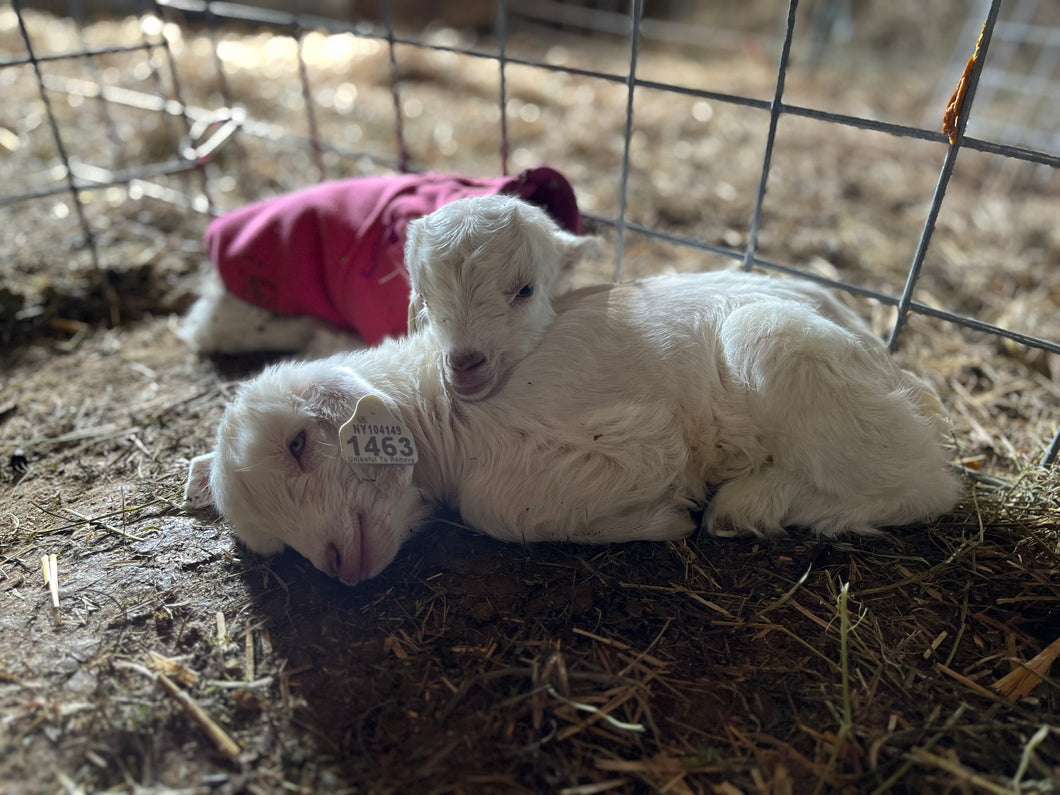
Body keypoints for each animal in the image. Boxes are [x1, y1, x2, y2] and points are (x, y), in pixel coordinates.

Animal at [186, 270, 962, 586]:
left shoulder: (622, 436)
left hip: (776, 343)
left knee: (924, 484)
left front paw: (664, 514)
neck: (441, 414)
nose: (338, 566)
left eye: (298, 443)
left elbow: (500, 505)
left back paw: (750, 505)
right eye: (273, 545)